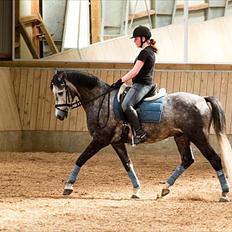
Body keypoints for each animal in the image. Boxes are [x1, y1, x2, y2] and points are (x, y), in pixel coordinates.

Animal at [50, 69, 232, 201]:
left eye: (60, 92)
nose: (59, 115)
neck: (100, 100)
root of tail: (202, 99)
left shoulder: (100, 139)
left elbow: (80, 159)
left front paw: (68, 186)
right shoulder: (116, 142)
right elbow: (127, 164)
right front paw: (136, 191)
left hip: (199, 137)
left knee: (215, 159)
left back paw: (224, 194)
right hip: (181, 137)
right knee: (187, 159)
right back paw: (164, 189)